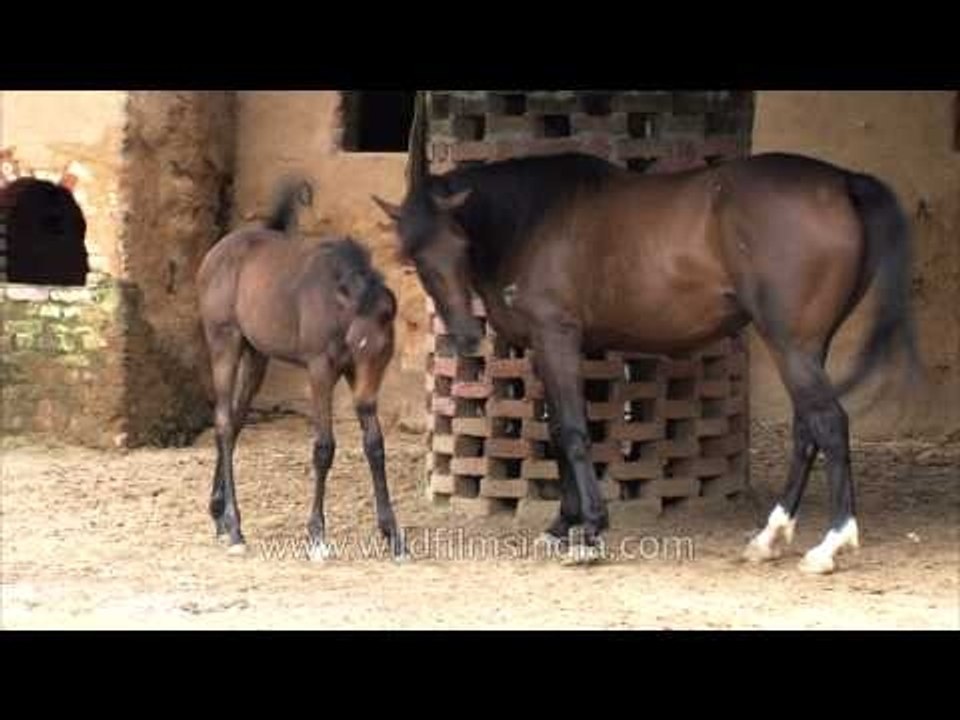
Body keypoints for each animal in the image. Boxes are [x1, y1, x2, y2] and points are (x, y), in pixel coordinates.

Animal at [197, 177, 407, 560]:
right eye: (358, 343)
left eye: (385, 350)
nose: (366, 402)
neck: (340, 305)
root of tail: (214, 254)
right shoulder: (320, 369)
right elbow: (324, 447)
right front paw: (318, 537)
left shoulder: (355, 374)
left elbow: (374, 445)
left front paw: (393, 535)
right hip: (224, 341)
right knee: (223, 421)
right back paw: (234, 528)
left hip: (256, 354)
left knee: (235, 421)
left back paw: (219, 515)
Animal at [372, 119, 921, 574]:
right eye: (415, 259)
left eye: (461, 245)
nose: (466, 335)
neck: (534, 220)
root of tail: (843, 181)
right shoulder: (547, 348)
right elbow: (557, 431)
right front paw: (562, 526)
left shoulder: (556, 338)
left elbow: (573, 431)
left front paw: (590, 533)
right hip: (808, 347)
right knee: (809, 428)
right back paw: (770, 537)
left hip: (792, 345)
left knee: (828, 423)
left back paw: (831, 544)